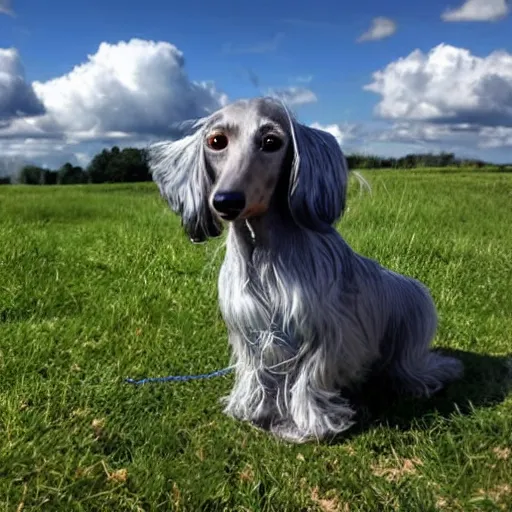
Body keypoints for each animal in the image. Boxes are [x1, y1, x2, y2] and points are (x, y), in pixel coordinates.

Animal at [148, 97, 464, 444]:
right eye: (216, 141)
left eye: (271, 142)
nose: (226, 201)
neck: (263, 252)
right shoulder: (251, 329)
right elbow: (257, 372)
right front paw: (254, 410)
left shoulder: (323, 330)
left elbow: (309, 376)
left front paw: (312, 424)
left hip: (415, 310)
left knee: (409, 367)